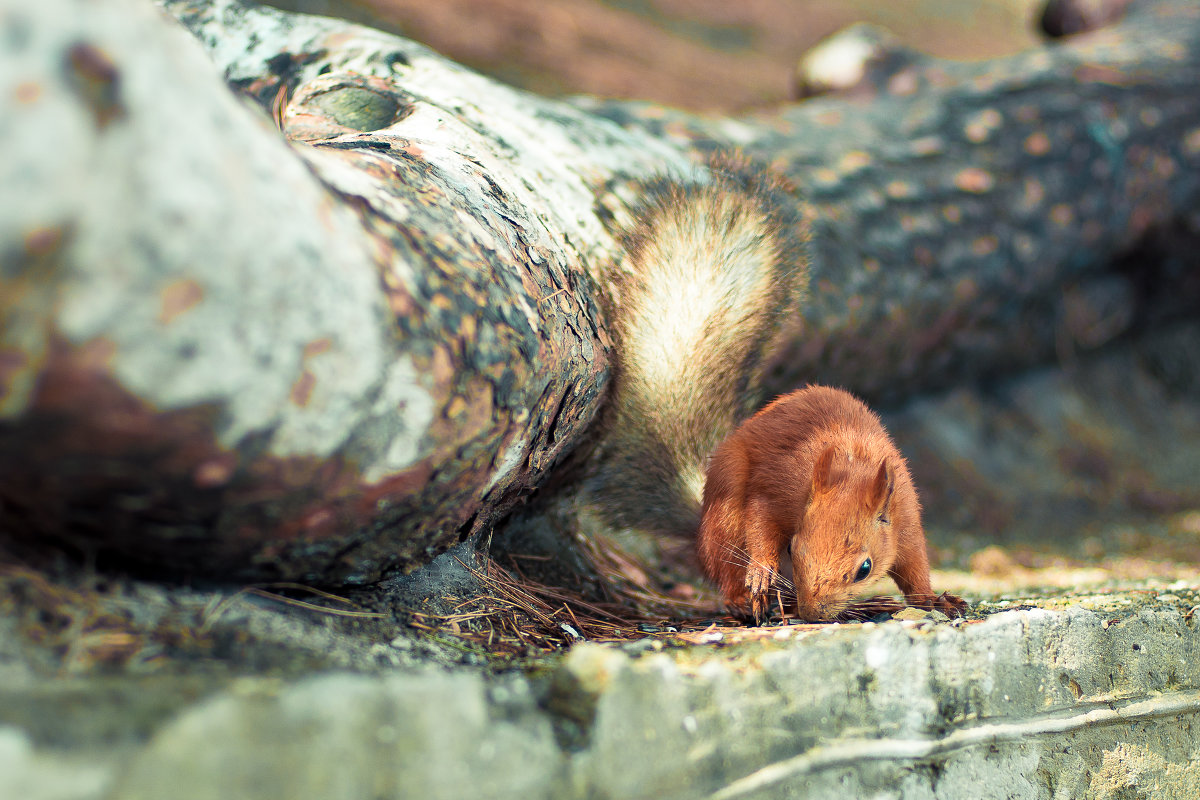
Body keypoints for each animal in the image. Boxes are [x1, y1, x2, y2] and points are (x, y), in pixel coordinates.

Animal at [592, 151, 964, 623]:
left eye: (864, 568)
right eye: (797, 549)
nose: (812, 613)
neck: (851, 460)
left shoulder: (905, 517)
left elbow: (914, 564)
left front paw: (935, 599)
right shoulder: (777, 487)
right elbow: (761, 526)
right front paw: (763, 571)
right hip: (724, 510)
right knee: (726, 559)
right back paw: (745, 599)